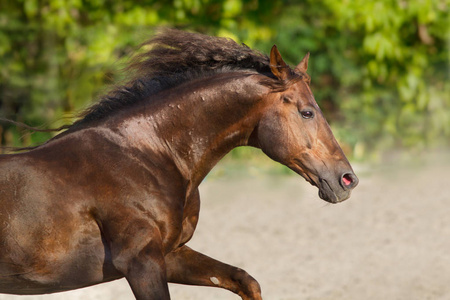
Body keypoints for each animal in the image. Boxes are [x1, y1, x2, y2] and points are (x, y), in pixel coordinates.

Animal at [0, 28, 358, 300]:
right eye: (307, 112)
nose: (346, 179)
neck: (148, 154)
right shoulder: (141, 262)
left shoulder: (170, 254)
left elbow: (245, 280)